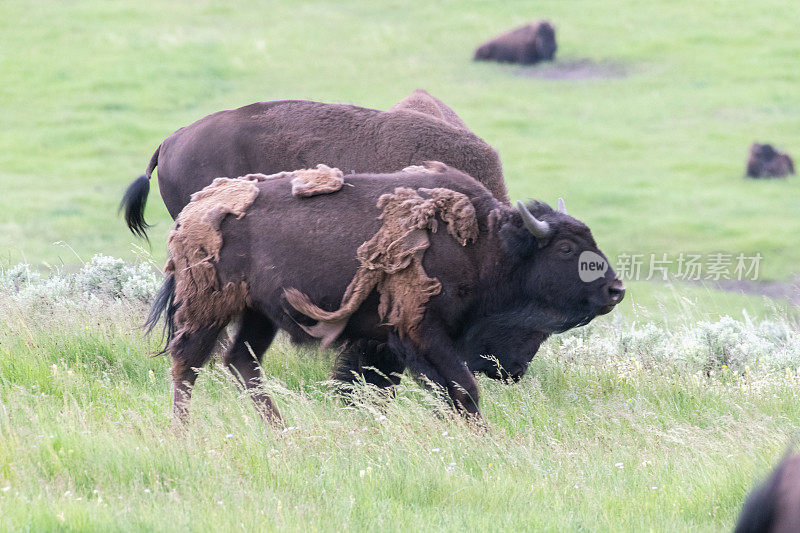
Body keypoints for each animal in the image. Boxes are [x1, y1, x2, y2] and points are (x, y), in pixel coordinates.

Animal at [148, 164, 624, 422]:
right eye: (566, 249)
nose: (616, 289)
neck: (489, 245)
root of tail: (193, 209)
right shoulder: (422, 331)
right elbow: (464, 389)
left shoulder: (394, 342)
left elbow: (390, 390)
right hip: (208, 309)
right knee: (187, 366)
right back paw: (182, 432)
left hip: (258, 314)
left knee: (240, 362)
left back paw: (281, 431)